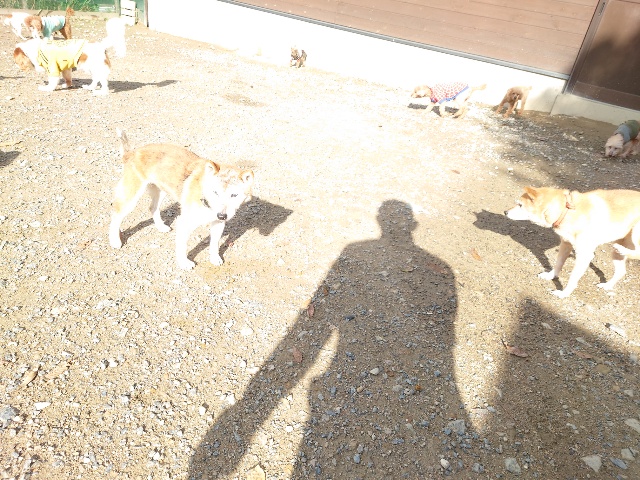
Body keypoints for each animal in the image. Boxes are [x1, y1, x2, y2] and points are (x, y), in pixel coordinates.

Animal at [109, 129, 255, 270]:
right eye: (215, 192)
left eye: (234, 195)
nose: (222, 215)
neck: (206, 200)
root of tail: (131, 152)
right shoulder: (184, 223)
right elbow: (182, 246)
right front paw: (184, 263)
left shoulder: (218, 224)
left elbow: (214, 244)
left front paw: (214, 259)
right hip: (131, 197)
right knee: (116, 215)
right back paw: (115, 241)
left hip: (161, 191)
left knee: (152, 208)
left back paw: (161, 227)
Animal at [505, 186, 640, 298]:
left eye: (520, 205)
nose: (505, 212)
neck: (566, 211)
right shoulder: (565, 245)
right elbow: (558, 264)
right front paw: (550, 276)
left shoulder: (584, 255)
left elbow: (572, 278)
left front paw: (564, 293)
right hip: (617, 253)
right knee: (621, 271)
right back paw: (607, 285)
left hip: (635, 233)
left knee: (637, 252)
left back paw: (622, 250)